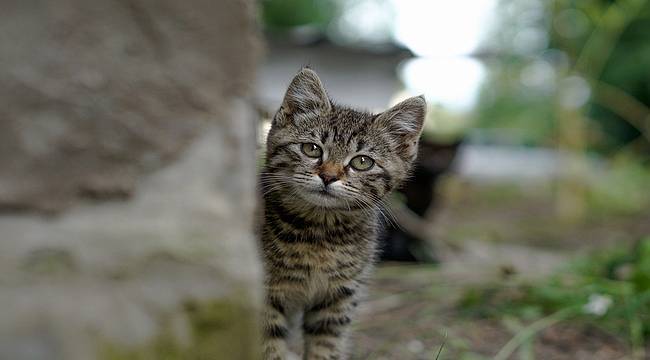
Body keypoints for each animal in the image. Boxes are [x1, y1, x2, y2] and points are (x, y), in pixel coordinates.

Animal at [260, 68, 426, 360]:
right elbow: (268, 348)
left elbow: (325, 347)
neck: (320, 232)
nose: (328, 176)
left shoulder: (338, 299)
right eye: (311, 149)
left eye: (362, 162)